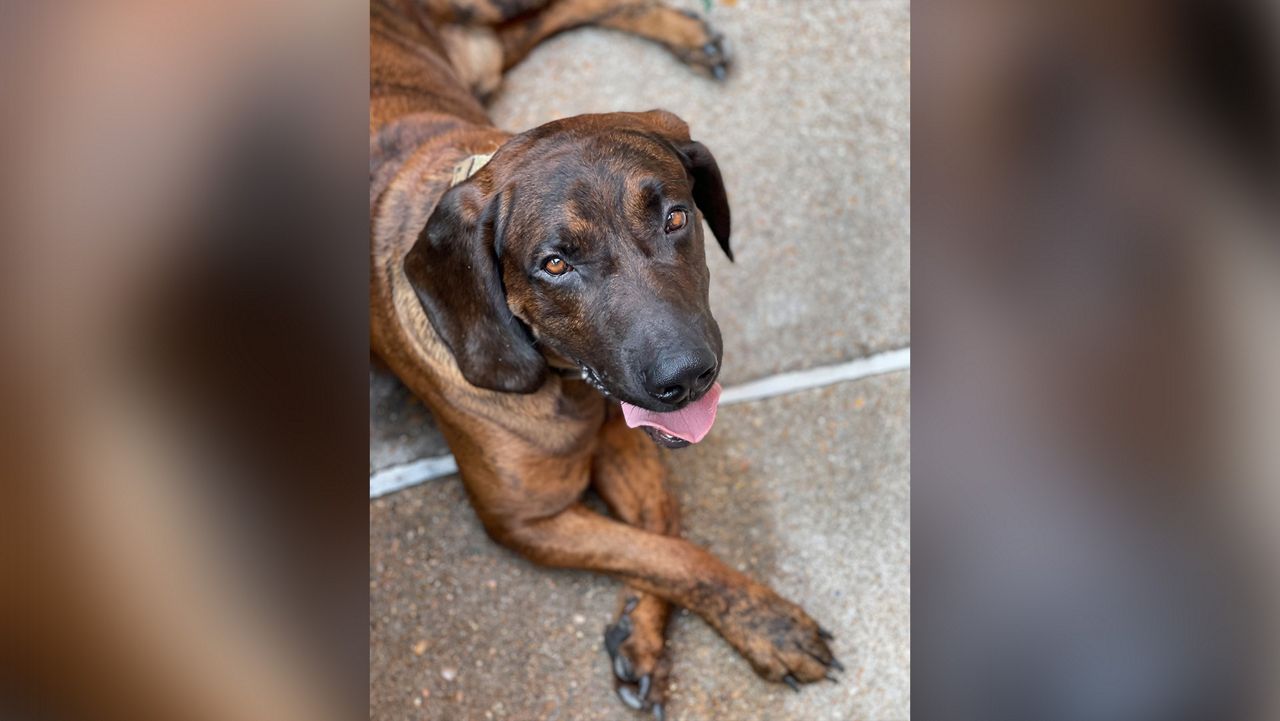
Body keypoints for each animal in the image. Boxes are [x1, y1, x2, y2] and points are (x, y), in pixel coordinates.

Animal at [373, 0, 839, 712]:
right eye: (554, 264)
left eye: (676, 218)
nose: (689, 377)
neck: (565, 383)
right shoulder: (526, 519)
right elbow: (662, 552)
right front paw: (769, 624)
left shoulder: (625, 437)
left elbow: (663, 529)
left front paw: (659, 629)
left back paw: (689, 34)